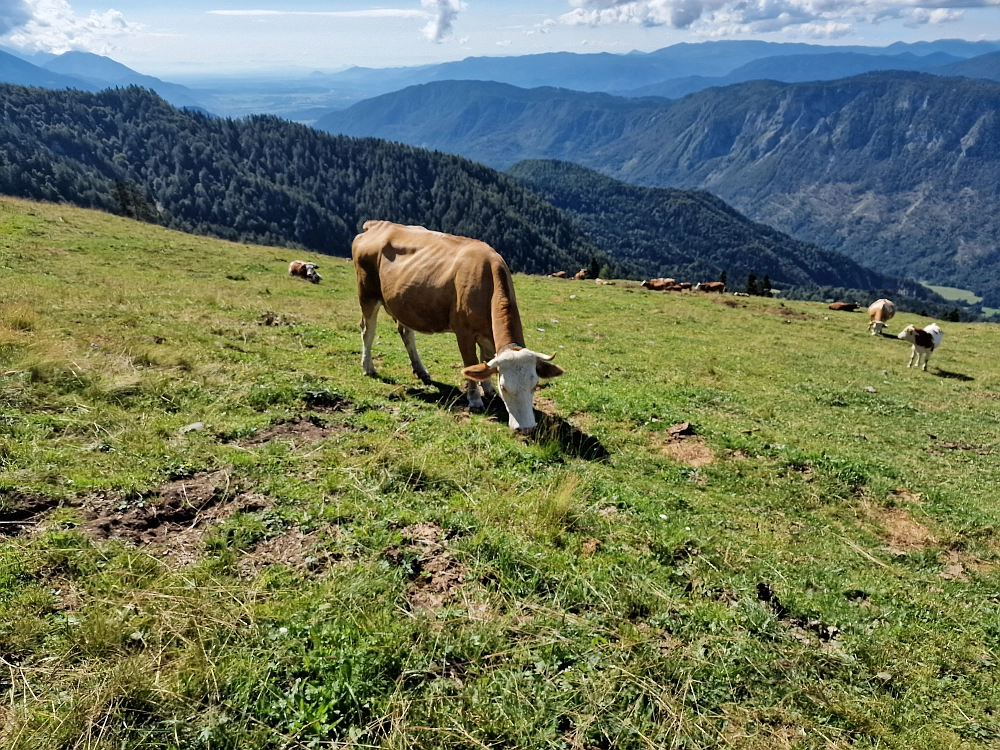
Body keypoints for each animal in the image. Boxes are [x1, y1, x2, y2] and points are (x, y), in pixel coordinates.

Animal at [352, 220, 564, 432]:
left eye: (535, 385)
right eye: (504, 386)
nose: (526, 427)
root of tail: (378, 224)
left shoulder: (487, 334)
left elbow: (486, 359)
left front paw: (488, 388)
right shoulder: (464, 332)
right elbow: (471, 363)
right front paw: (475, 399)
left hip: (403, 304)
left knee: (406, 332)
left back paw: (421, 371)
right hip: (367, 294)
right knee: (367, 331)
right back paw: (368, 367)